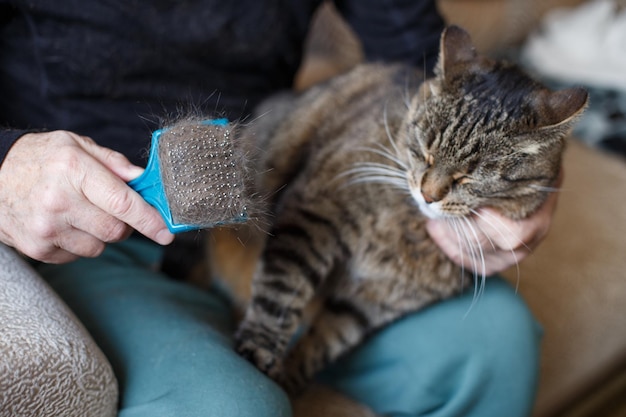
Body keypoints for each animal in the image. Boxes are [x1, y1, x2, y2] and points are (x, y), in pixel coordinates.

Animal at [230, 24, 584, 392]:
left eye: (468, 176)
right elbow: (281, 293)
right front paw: (258, 349)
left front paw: (289, 378)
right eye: (426, 151)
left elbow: (325, 343)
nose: (428, 195)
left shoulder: (374, 301)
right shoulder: (312, 215)